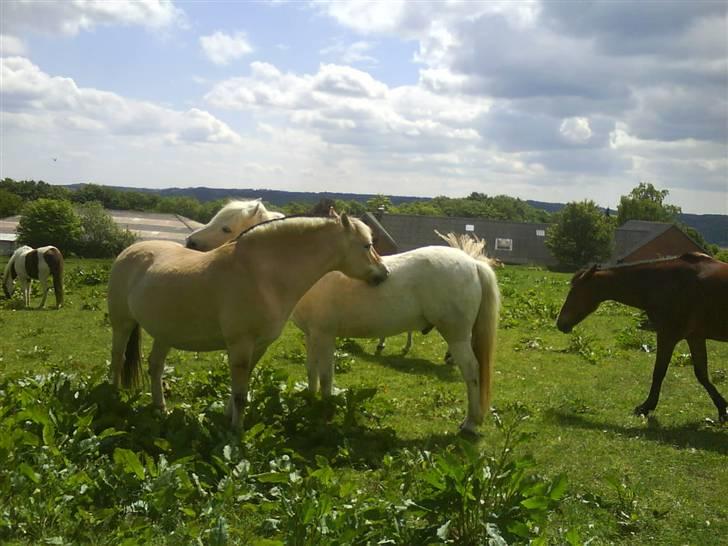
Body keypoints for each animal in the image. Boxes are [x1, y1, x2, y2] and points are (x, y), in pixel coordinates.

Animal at [106, 210, 386, 428]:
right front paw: (236, 433)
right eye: (367, 245)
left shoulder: (259, 346)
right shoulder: (240, 345)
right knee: (117, 359)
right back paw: (114, 398)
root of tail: (130, 250)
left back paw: (160, 408)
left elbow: (240, 391)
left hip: (164, 333)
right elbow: (240, 395)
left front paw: (228, 419)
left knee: (155, 366)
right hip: (122, 324)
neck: (262, 276)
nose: (383, 274)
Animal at [290, 244, 500, 432]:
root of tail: (473, 263)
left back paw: (470, 423)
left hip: (457, 336)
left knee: (472, 371)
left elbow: (326, 378)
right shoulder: (311, 335)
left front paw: (325, 414)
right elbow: (312, 372)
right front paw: (310, 401)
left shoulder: (324, 335)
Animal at [556, 251, 728, 420]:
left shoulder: (667, 335)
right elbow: (702, 374)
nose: (560, 323)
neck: (668, 282)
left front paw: (645, 407)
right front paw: (722, 408)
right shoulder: (695, 337)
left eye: (575, 292)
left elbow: (659, 372)